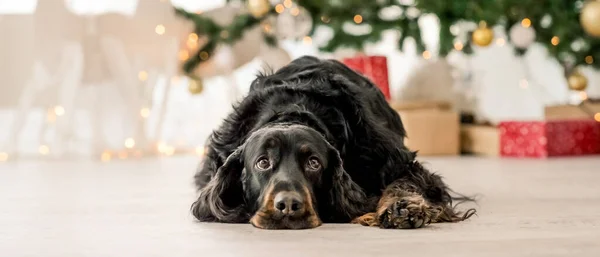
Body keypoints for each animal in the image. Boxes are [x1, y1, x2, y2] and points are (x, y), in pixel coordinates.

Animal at [191, 55, 474, 228]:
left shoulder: (394, 160)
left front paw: (402, 207)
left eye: (314, 163)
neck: (293, 111)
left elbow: (406, 182)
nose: (288, 205)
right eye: (262, 162)